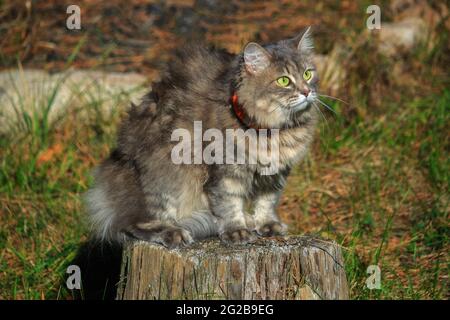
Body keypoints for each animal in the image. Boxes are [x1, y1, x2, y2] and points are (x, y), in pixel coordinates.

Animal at [86, 26, 318, 248]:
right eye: (284, 81)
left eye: (308, 74)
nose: (306, 91)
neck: (276, 131)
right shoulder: (224, 171)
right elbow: (229, 204)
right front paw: (237, 231)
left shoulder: (275, 175)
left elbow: (266, 202)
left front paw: (267, 225)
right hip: (162, 174)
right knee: (135, 224)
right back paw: (174, 233)